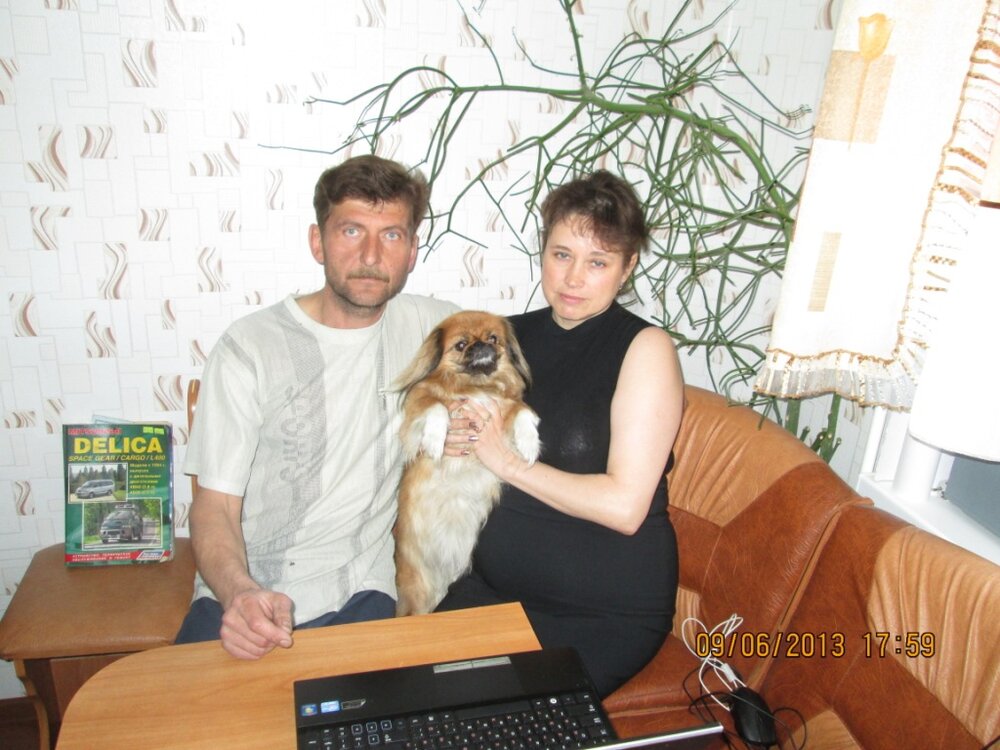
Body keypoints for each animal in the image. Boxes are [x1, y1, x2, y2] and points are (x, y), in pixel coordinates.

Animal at [393, 310, 540, 616]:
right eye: (461, 345)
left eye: (493, 338)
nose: (481, 345)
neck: (477, 385)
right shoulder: (418, 404)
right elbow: (436, 406)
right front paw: (436, 439)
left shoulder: (502, 408)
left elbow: (521, 411)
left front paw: (530, 442)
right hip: (417, 593)